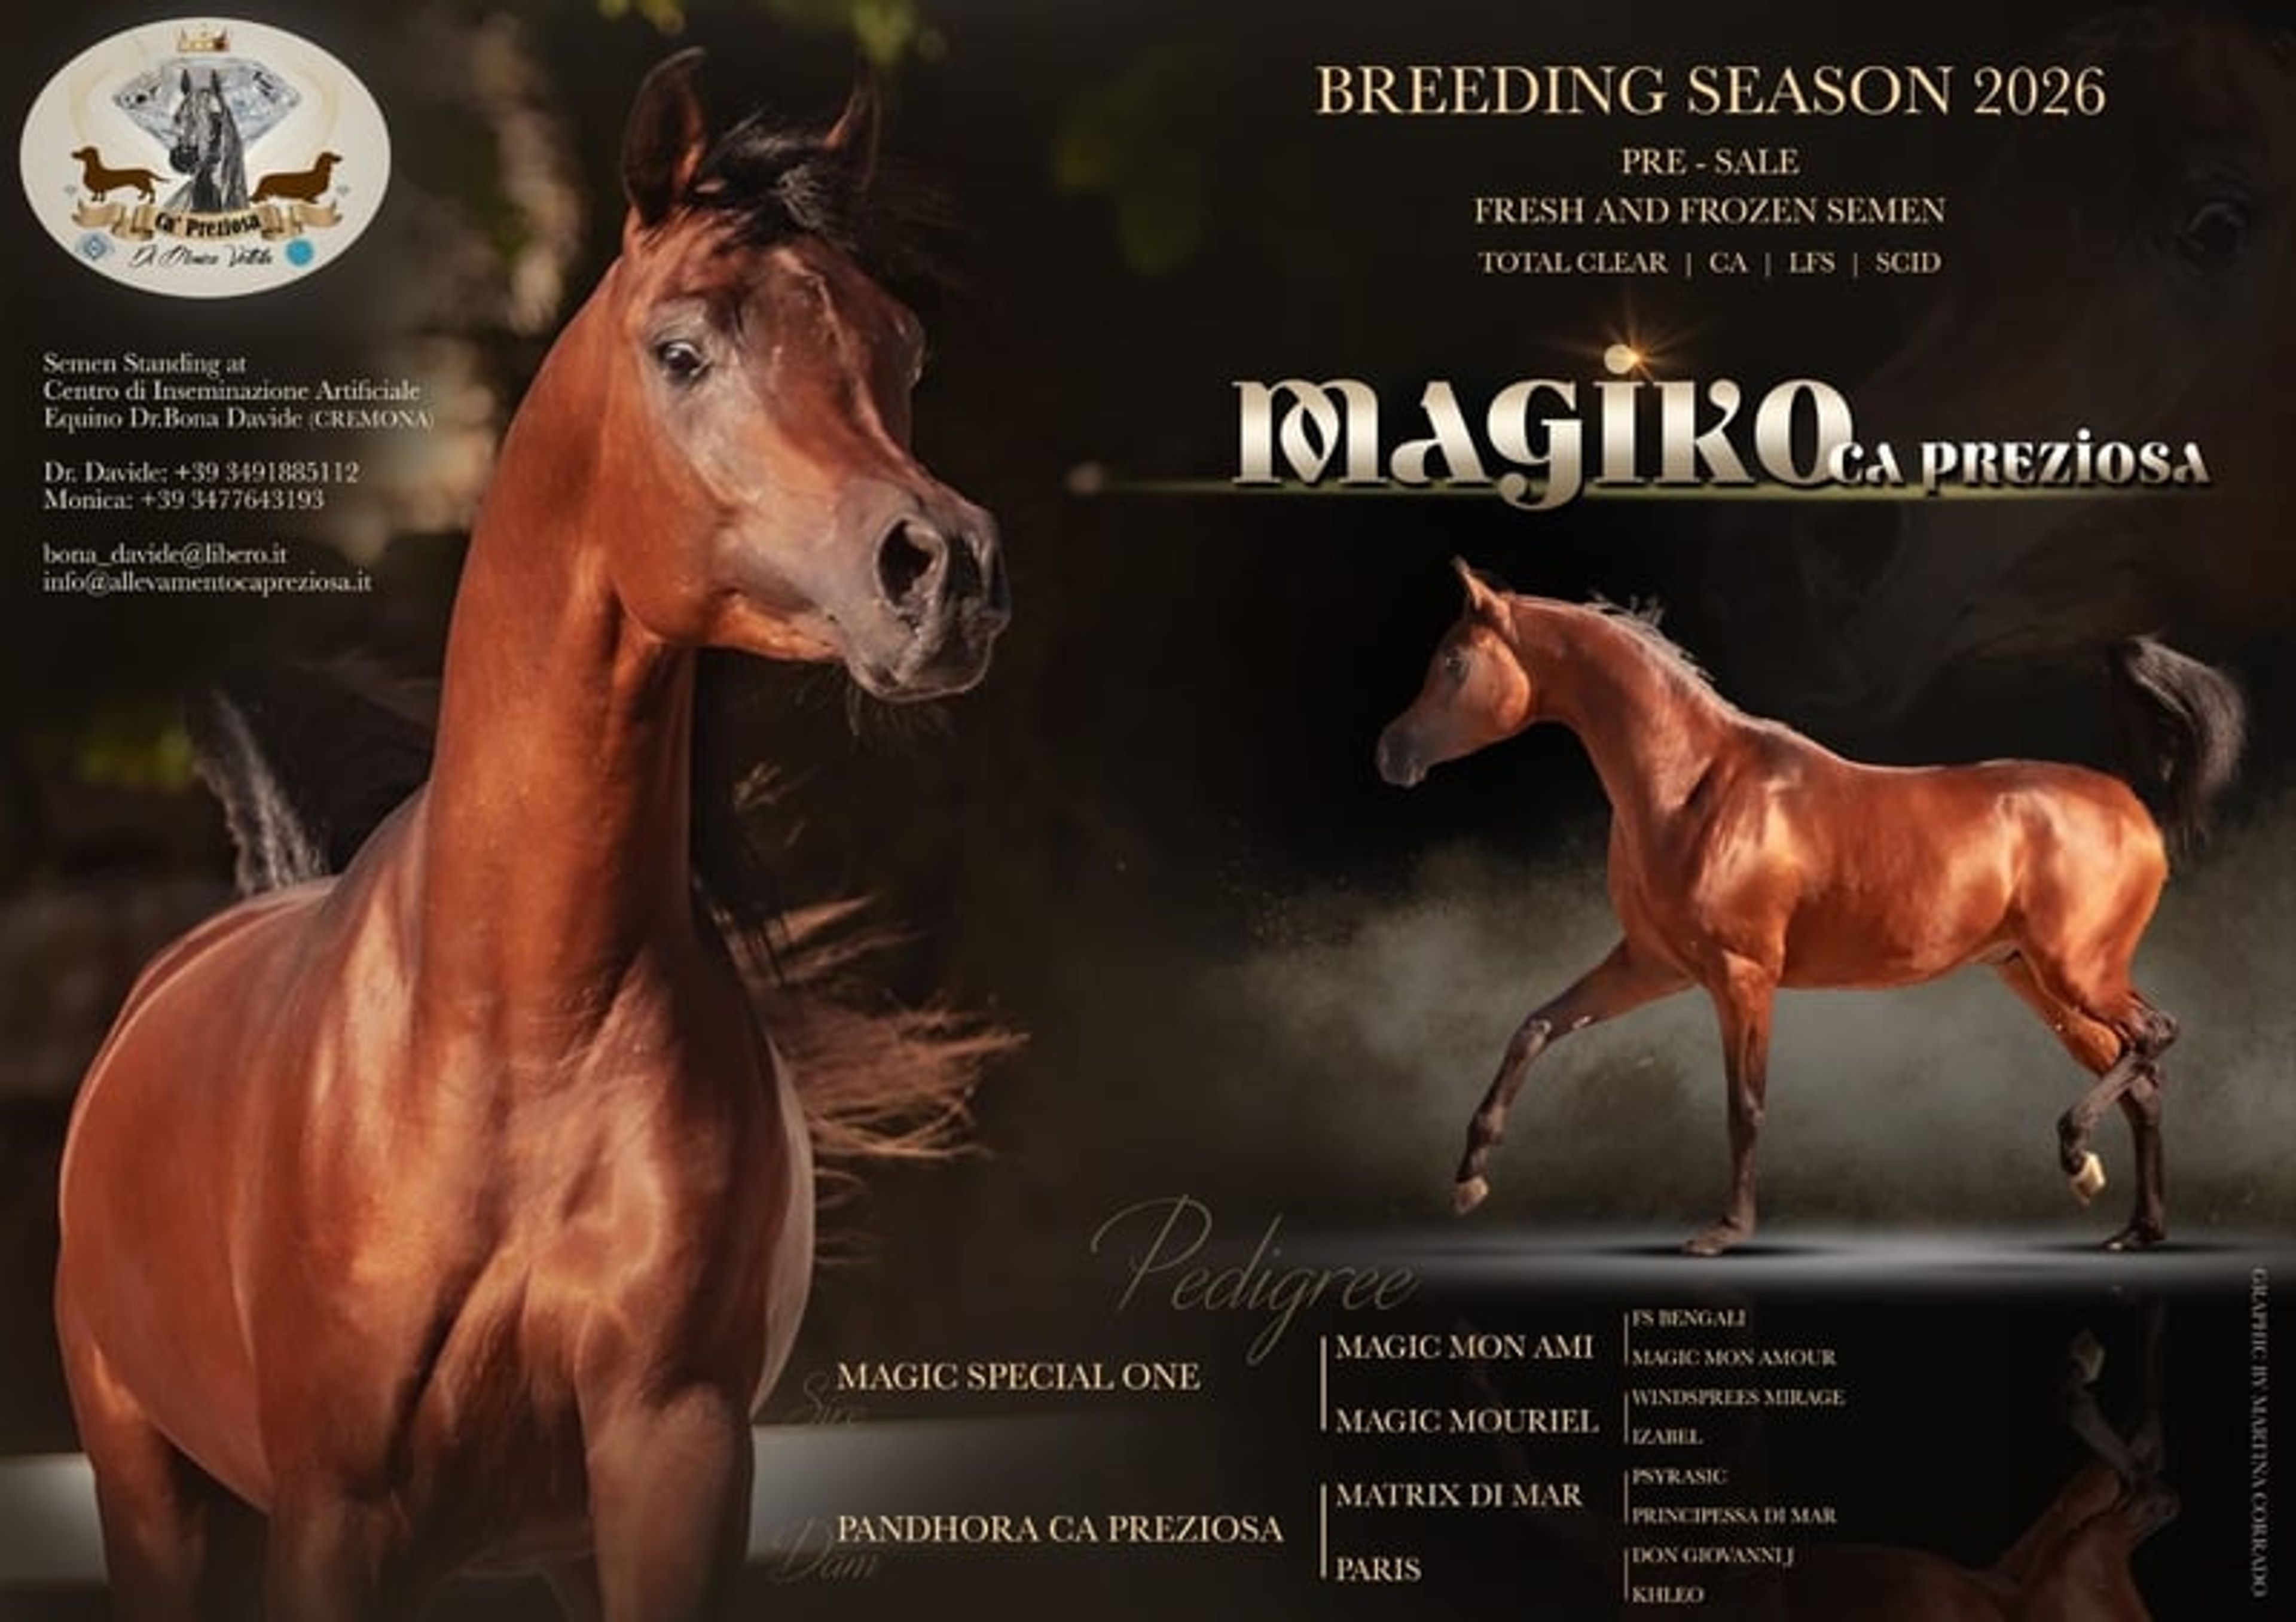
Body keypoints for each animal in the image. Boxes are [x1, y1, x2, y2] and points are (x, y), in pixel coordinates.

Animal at [1375, 560, 2242, 1255]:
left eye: (1453, 662)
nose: (1390, 754)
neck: (1693, 788)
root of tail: (2133, 804)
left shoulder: (1742, 977)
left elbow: (1746, 1103)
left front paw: (1723, 1232)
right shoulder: (1651, 966)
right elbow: (1536, 1027)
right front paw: (1468, 1178)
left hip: (2078, 971)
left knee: (2156, 1037)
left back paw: (2077, 1155)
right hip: (2037, 981)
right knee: (2143, 1082)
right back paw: (2134, 1226)